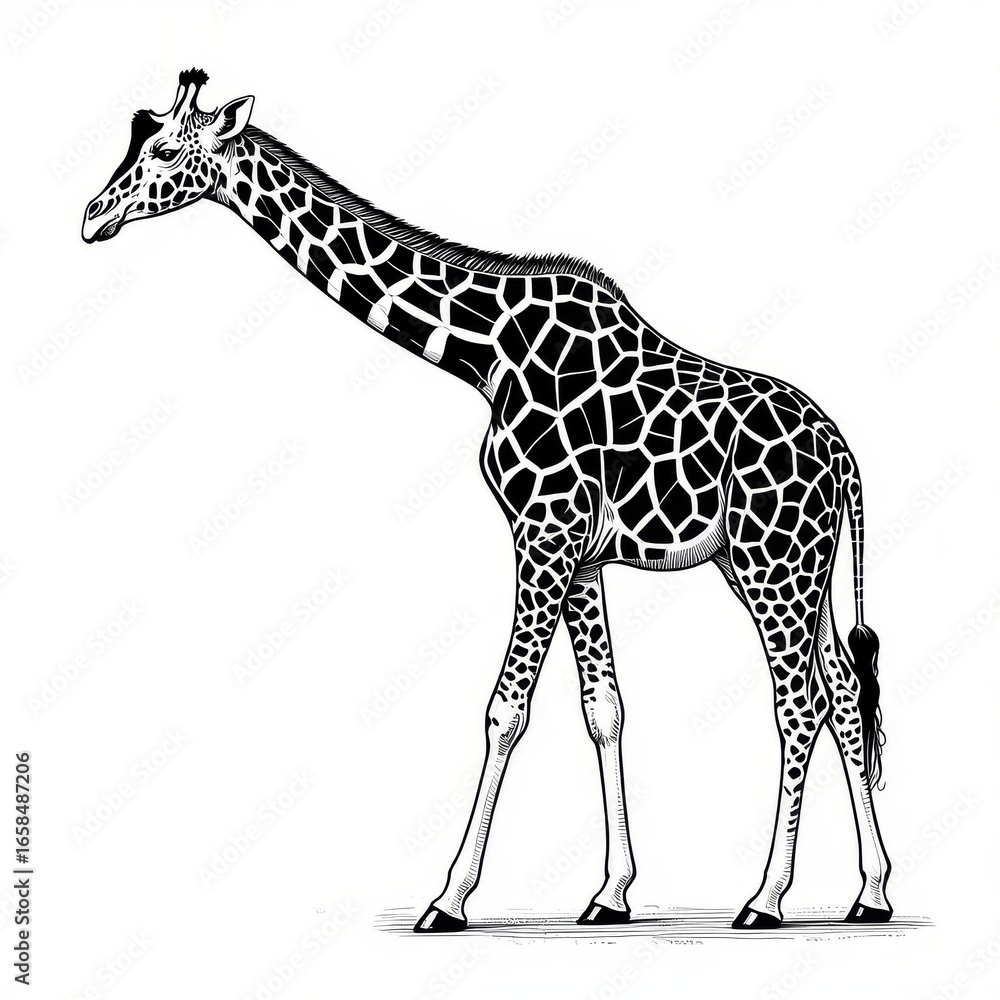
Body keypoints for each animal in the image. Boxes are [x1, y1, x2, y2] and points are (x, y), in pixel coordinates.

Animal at [83, 71, 892, 933]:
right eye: (136, 138)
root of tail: (844, 458)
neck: (487, 353)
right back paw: (870, 891)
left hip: (776, 561)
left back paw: (766, 898)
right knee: (843, 693)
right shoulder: (580, 554)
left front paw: (447, 899)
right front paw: (610, 893)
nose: (92, 218)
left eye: (167, 152)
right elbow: (604, 708)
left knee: (799, 704)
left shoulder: (544, 530)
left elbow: (505, 712)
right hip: (779, 566)